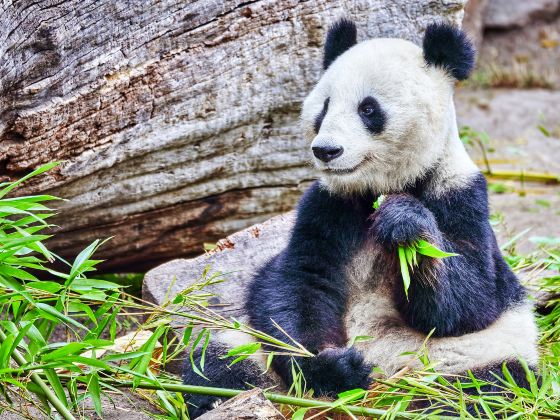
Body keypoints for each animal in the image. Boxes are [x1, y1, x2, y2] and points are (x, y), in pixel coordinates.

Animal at [182, 18, 540, 416]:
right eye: (324, 107)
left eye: (368, 109)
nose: (326, 150)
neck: (375, 187)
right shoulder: (327, 206)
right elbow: (298, 283)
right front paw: (334, 366)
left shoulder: (461, 197)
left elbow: (472, 301)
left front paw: (404, 223)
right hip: (246, 345)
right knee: (218, 362)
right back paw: (225, 398)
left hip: (471, 357)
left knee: (485, 391)